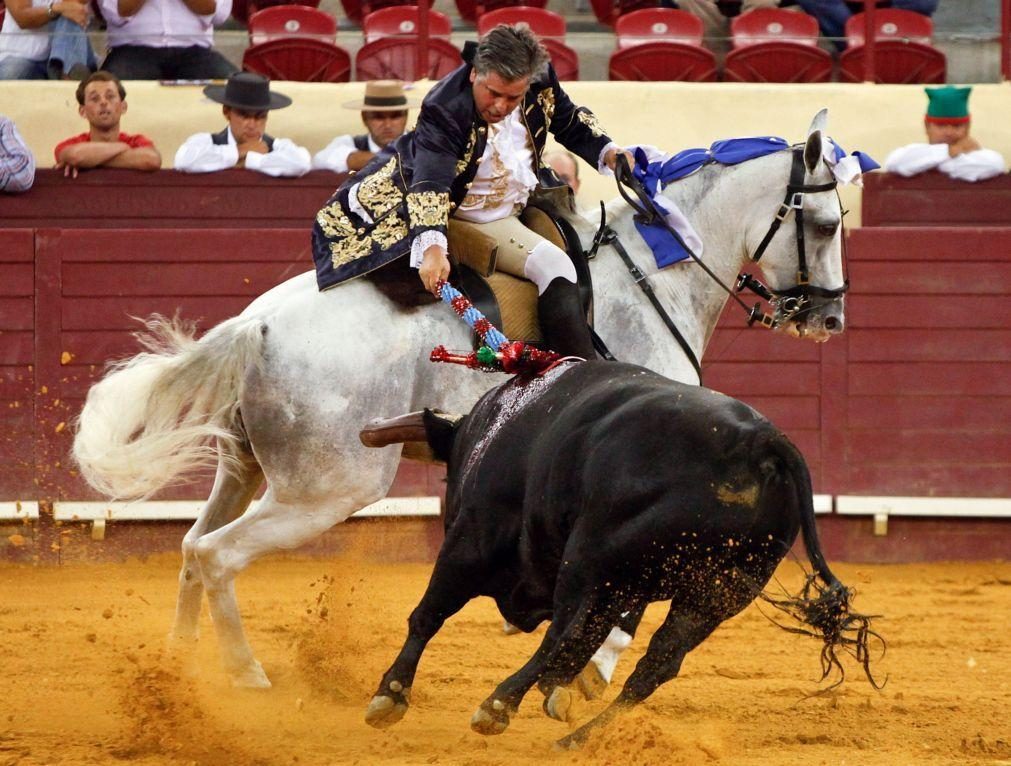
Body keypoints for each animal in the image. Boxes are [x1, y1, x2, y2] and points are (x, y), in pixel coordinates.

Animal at [74, 112, 845, 691]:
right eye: (828, 224)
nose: (829, 318)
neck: (650, 276)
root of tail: (254, 326)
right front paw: (585, 671)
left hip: (245, 469)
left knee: (189, 546)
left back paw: (177, 675)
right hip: (326, 488)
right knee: (216, 556)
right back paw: (246, 678)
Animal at [361, 363, 877, 747]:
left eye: (450, 476)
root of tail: (758, 440)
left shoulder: (471, 543)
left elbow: (429, 614)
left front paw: (390, 696)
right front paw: (560, 694)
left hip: (593, 559)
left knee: (566, 635)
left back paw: (498, 705)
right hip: (717, 592)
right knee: (655, 664)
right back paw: (577, 738)